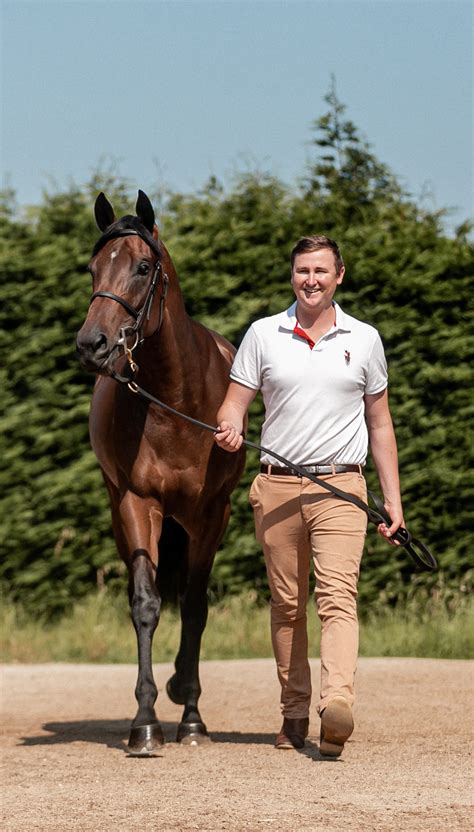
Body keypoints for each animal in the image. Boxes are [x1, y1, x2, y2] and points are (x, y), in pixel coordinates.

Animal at [75, 190, 244, 752]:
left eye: (143, 267)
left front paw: (191, 717)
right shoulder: (136, 503)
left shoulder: (211, 514)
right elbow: (146, 604)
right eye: (93, 268)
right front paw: (145, 722)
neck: (174, 401)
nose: (92, 344)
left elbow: (195, 606)